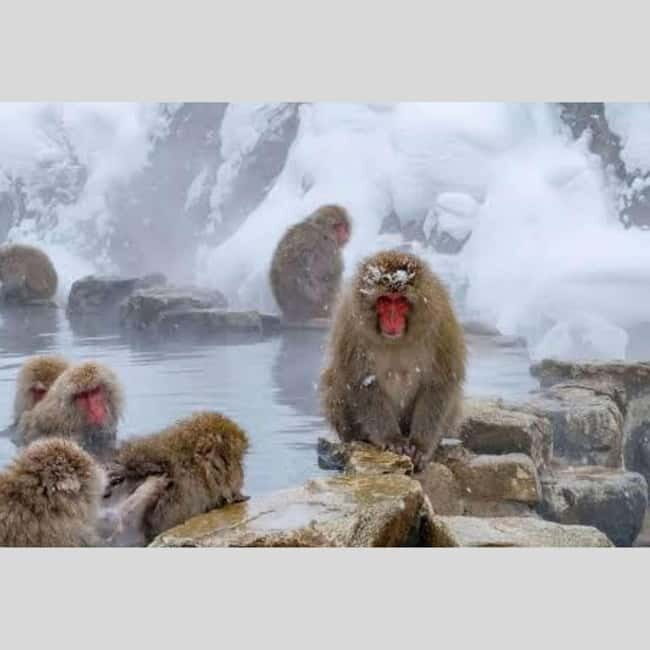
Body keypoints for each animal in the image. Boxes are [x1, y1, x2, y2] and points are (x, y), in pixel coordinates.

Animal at [320, 250, 466, 471]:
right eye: (384, 301)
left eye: (400, 302)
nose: (391, 319)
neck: (399, 339)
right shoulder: (351, 328)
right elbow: (362, 383)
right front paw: (392, 439)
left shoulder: (441, 325)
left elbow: (439, 383)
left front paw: (420, 446)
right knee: (334, 382)